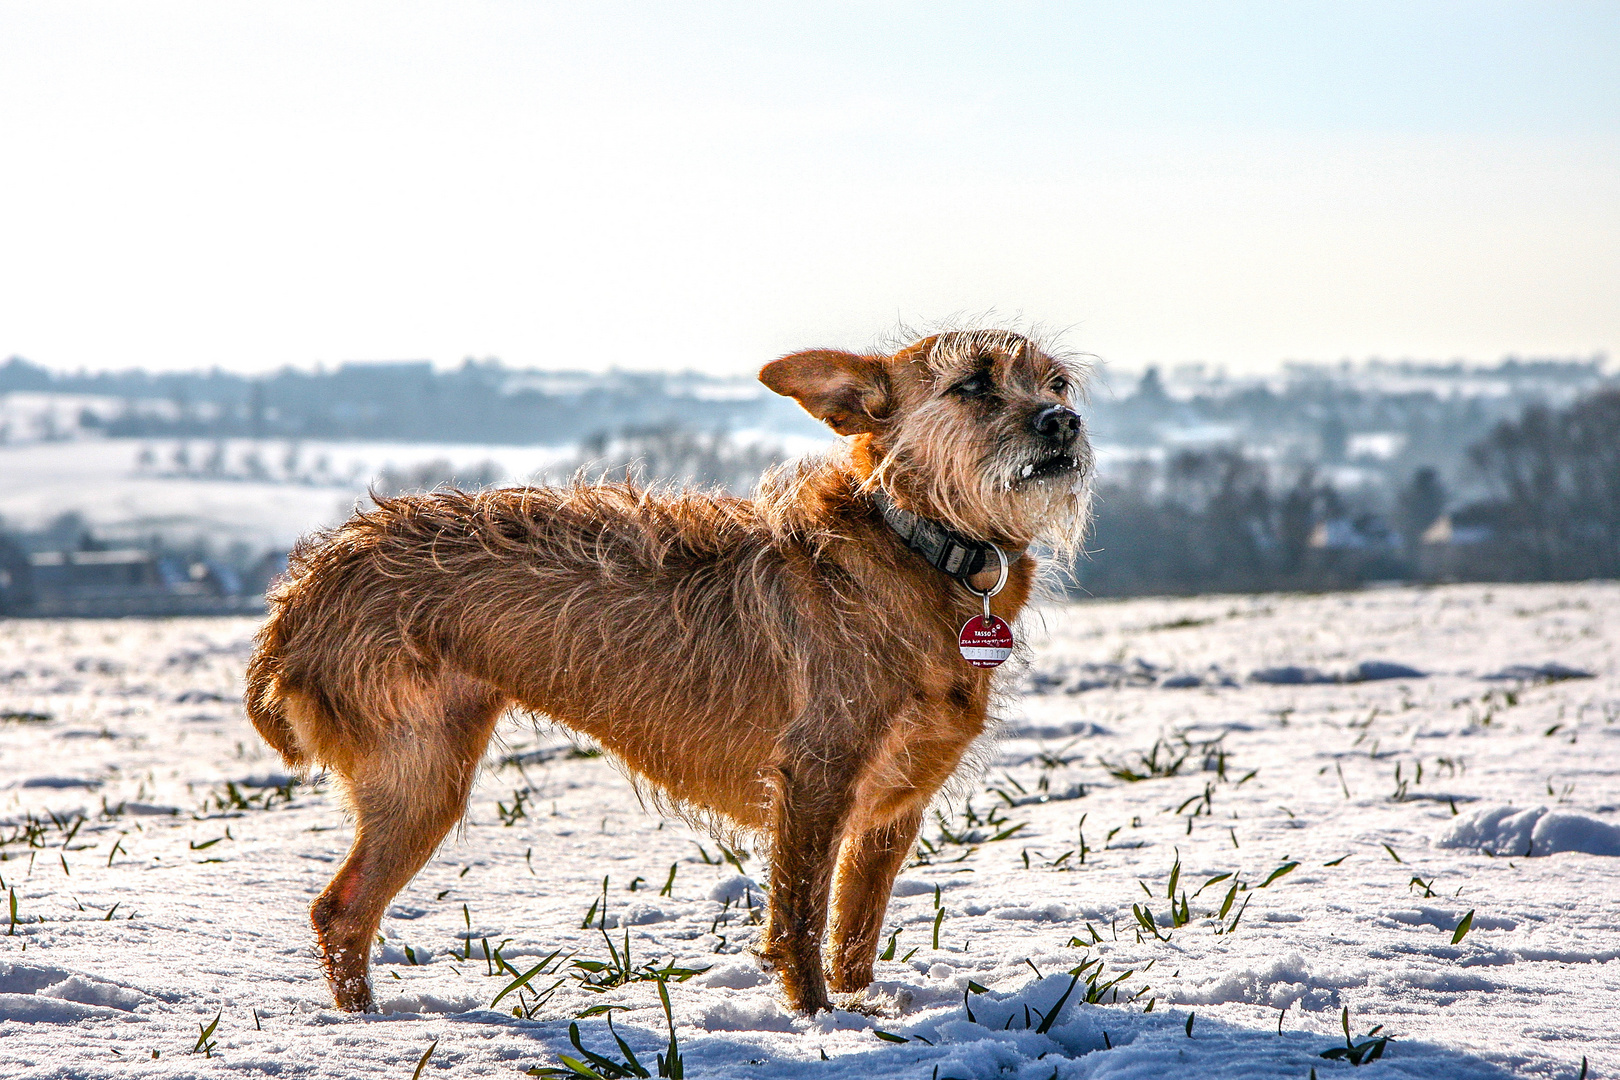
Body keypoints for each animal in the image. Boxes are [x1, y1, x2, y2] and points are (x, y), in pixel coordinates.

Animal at [239, 327, 1088, 1016]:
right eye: (972, 384)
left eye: (1056, 383)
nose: (1063, 421)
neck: (920, 548)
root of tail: (312, 583)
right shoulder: (814, 779)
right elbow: (801, 916)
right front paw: (817, 1021)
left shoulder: (894, 805)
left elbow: (857, 923)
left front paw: (860, 1006)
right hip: (422, 771)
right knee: (341, 910)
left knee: (342, 910)